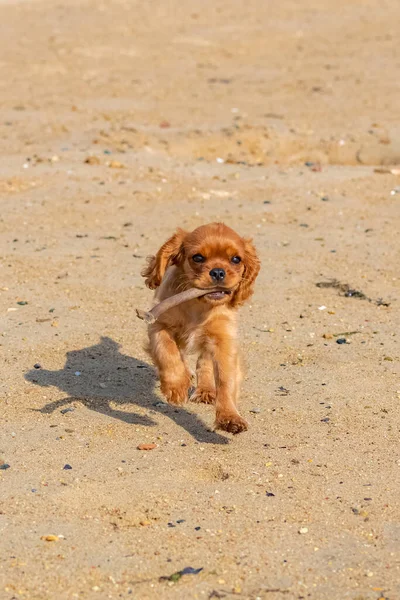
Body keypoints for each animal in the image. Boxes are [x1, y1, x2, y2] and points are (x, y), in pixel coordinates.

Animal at [141, 223, 260, 434]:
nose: (218, 272)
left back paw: (206, 390)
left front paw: (230, 417)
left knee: (204, 361)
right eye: (198, 258)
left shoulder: (224, 340)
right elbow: (167, 352)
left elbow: (226, 380)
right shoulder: (158, 324)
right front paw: (176, 387)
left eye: (236, 259)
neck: (199, 305)